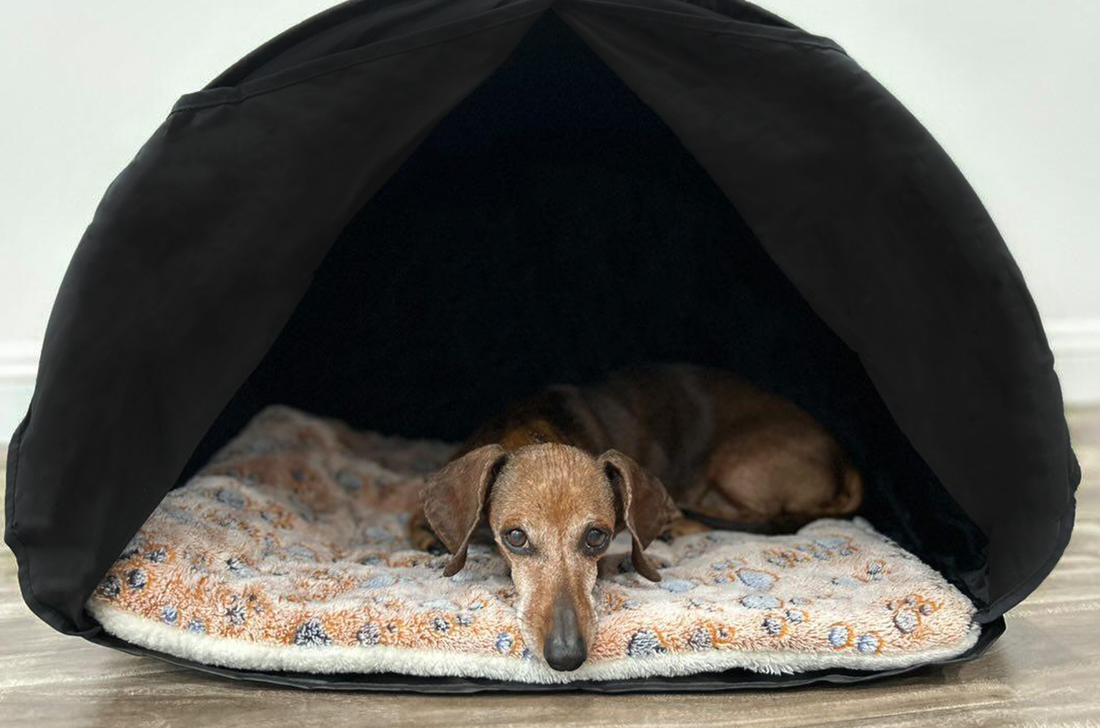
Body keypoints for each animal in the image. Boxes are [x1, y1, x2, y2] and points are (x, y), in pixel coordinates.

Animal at [409, 365, 862, 673]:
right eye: (516, 537)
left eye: (597, 537)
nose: (566, 655)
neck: (535, 429)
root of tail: (842, 460)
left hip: (733, 465)